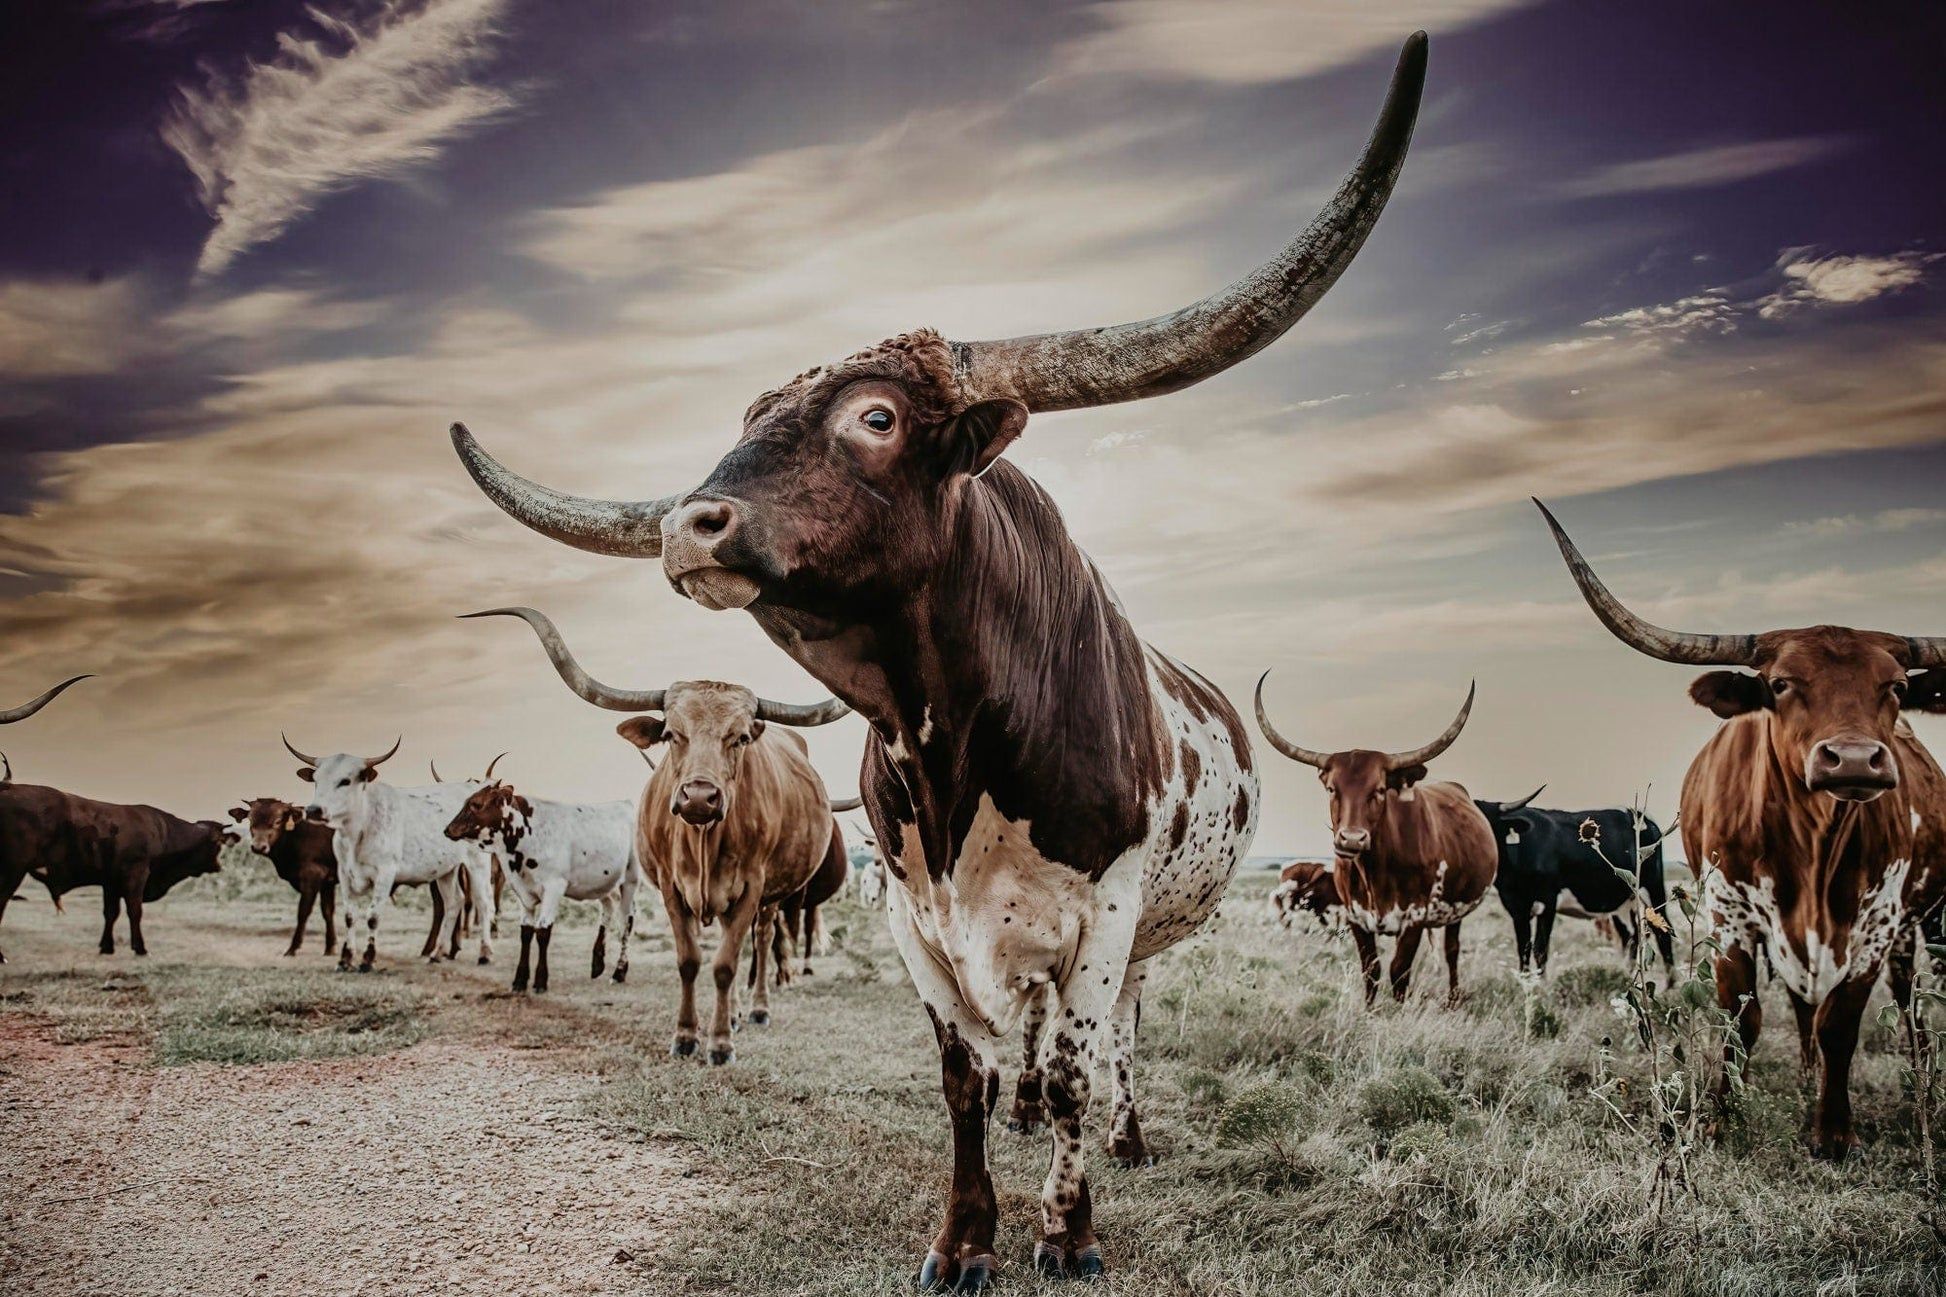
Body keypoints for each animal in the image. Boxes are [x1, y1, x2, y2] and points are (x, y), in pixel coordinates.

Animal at [0, 782, 223, 954]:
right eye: (217, 844)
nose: (218, 866)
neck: (163, 831)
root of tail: (9, 787)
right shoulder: (137, 874)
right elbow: (134, 911)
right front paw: (140, 948)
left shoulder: (111, 882)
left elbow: (110, 913)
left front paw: (106, 946)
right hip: (13, 871)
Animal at [441, 778, 638, 989]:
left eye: (476, 804)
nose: (448, 829)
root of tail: (626, 803)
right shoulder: (523, 891)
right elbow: (526, 932)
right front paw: (520, 980)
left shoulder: (554, 888)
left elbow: (543, 932)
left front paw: (540, 981)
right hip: (603, 882)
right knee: (608, 907)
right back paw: (597, 963)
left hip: (630, 880)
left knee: (626, 920)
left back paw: (619, 971)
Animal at [1253, 669, 1494, 1004]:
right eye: (1332, 788)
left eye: (1379, 790)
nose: (1352, 839)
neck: (1375, 872)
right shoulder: (1356, 918)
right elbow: (1372, 969)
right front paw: (1370, 1010)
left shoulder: (1414, 918)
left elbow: (1399, 971)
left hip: (1456, 909)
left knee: (1452, 950)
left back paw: (1454, 998)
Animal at [1471, 786, 1673, 969]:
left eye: (1489, 825)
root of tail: (1639, 815)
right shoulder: (1517, 908)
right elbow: (1523, 950)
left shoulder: (1548, 902)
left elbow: (1540, 950)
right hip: (1624, 902)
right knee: (1630, 938)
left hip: (1652, 890)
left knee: (1663, 935)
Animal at [1533, 494, 1946, 1152]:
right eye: (1780, 684)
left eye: (1897, 686)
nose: (1855, 759)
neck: (1813, 848)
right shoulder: (1728, 916)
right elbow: (1741, 1018)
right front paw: (1723, 1117)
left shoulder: (1877, 925)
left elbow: (1841, 1023)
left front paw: (1833, 1132)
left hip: (1917, 924)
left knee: (1906, 1002)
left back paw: (1915, 1074)